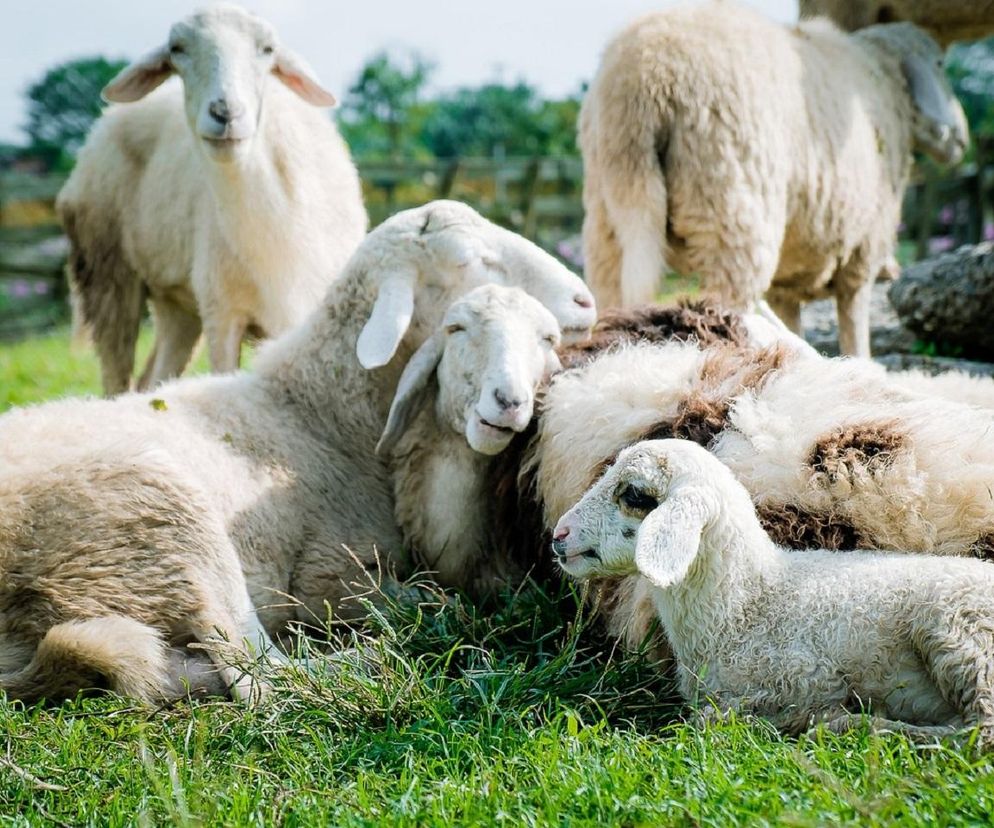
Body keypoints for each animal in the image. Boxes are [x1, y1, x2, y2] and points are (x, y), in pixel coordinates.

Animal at [0, 199, 596, 700]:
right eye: (471, 261)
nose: (585, 299)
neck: (317, 409)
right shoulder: (325, 574)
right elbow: (434, 601)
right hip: (163, 514)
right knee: (259, 676)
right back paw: (373, 663)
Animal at [54, 4, 366, 396]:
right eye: (177, 49)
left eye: (267, 49)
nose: (225, 113)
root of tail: (102, 123)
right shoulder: (223, 313)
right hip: (108, 274)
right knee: (117, 379)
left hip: (177, 303)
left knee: (153, 378)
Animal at [552, 440, 992, 744]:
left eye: (633, 494)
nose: (559, 535)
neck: (748, 602)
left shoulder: (806, 677)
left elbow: (721, 715)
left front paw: (798, 720)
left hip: (960, 634)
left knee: (980, 734)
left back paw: (855, 728)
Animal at [576, 4, 964, 360]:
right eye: (940, 64)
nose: (960, 138)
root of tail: (644, 81)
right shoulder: (862, 250)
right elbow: (854, 328)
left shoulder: (788, 279)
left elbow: (792, 321)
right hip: (731, 207)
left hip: (611, 209)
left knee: (612, 289)